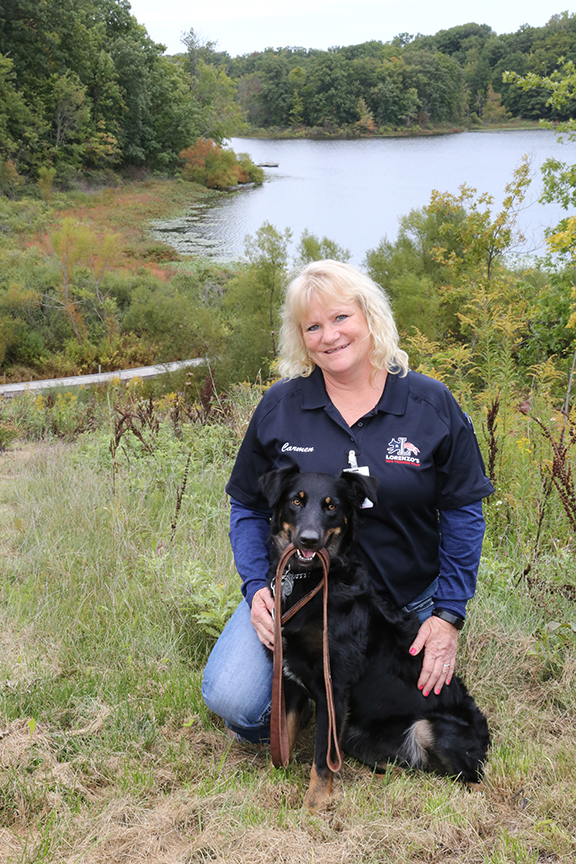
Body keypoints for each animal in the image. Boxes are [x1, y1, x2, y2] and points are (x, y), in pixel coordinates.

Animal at [260, 466, 490, 808]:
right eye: (296, 501)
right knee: (404, 769)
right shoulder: (288, 678)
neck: (311, 580)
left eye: (331, 506)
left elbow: (321, 760)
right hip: (357, 736)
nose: (308, 540)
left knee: (471, 779)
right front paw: (275, 779)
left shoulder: (334, 687)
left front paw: (313, 805)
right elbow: (284, 734)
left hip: (431, 728)